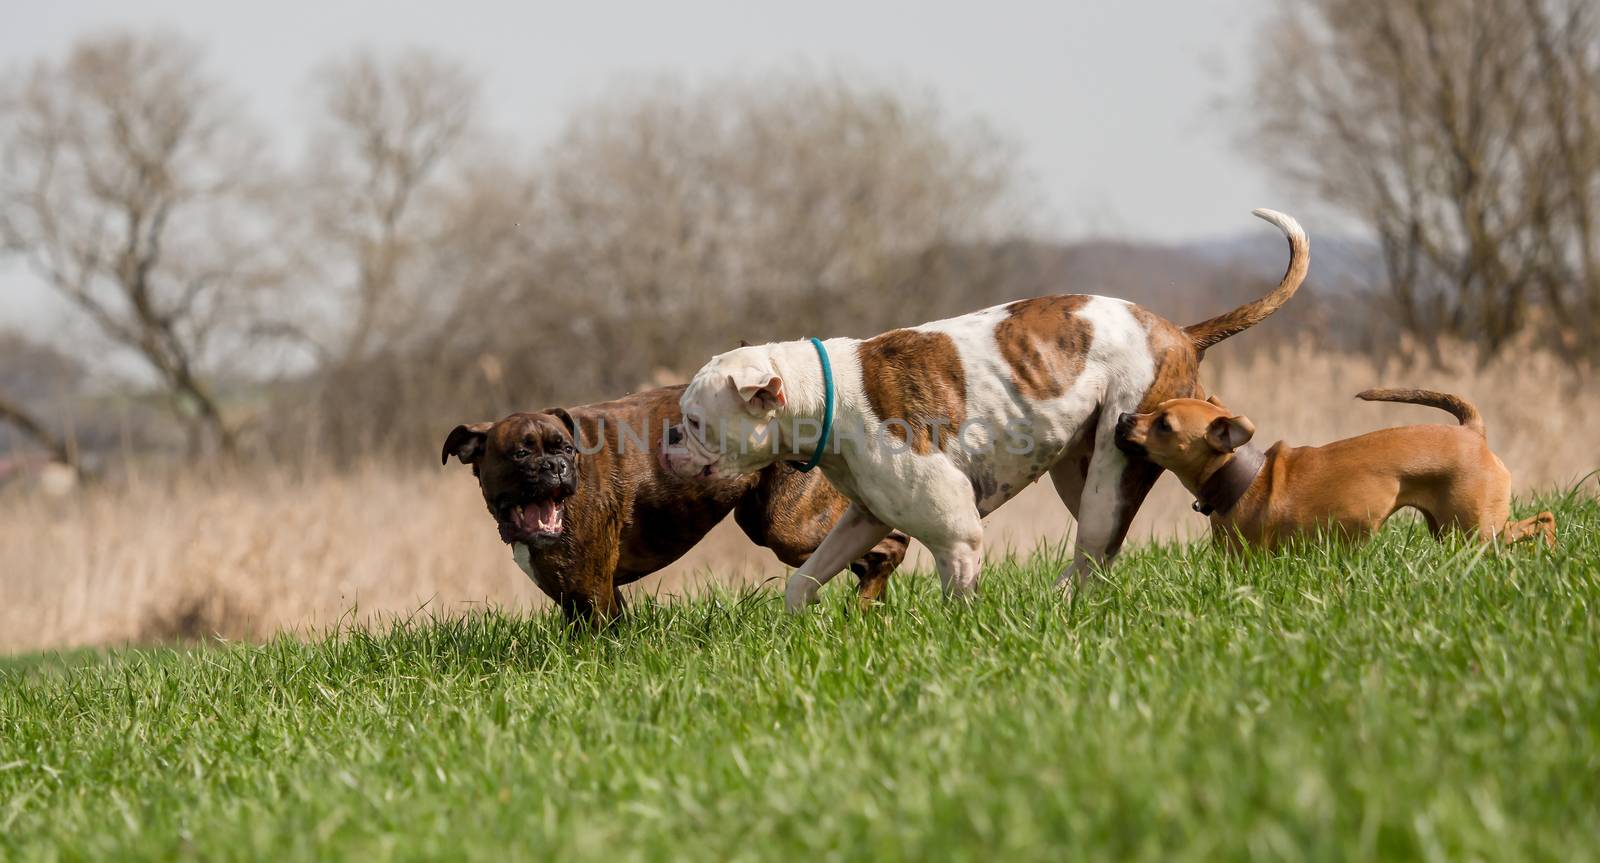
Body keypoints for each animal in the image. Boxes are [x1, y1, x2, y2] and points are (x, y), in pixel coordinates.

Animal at [444, 384, 908, 621]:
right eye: (520, 454)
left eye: (568, 450)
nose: (556, 466)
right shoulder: (592, 594)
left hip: (789, 529)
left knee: (892, 545)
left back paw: (863, 607)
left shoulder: (590, 593)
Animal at [1120, 389, 1555, 550]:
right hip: (1448, 529)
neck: (1243, 479)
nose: (1124, 418)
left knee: (1543, 520)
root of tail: (1472, 431)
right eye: (1156, 410)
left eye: (1164, 425)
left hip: (1476, 530)